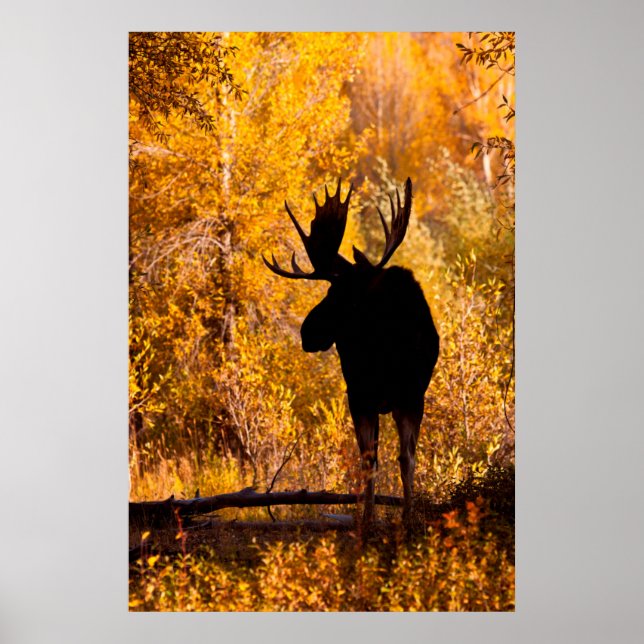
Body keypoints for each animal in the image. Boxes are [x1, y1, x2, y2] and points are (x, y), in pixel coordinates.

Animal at [263, 178, 439, 532]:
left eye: (335, 293)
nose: (306, 332)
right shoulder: (367, 396)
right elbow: (373, 460)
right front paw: (371, 520)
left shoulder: (400, 397)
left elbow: (403, 459)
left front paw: (402, 519)